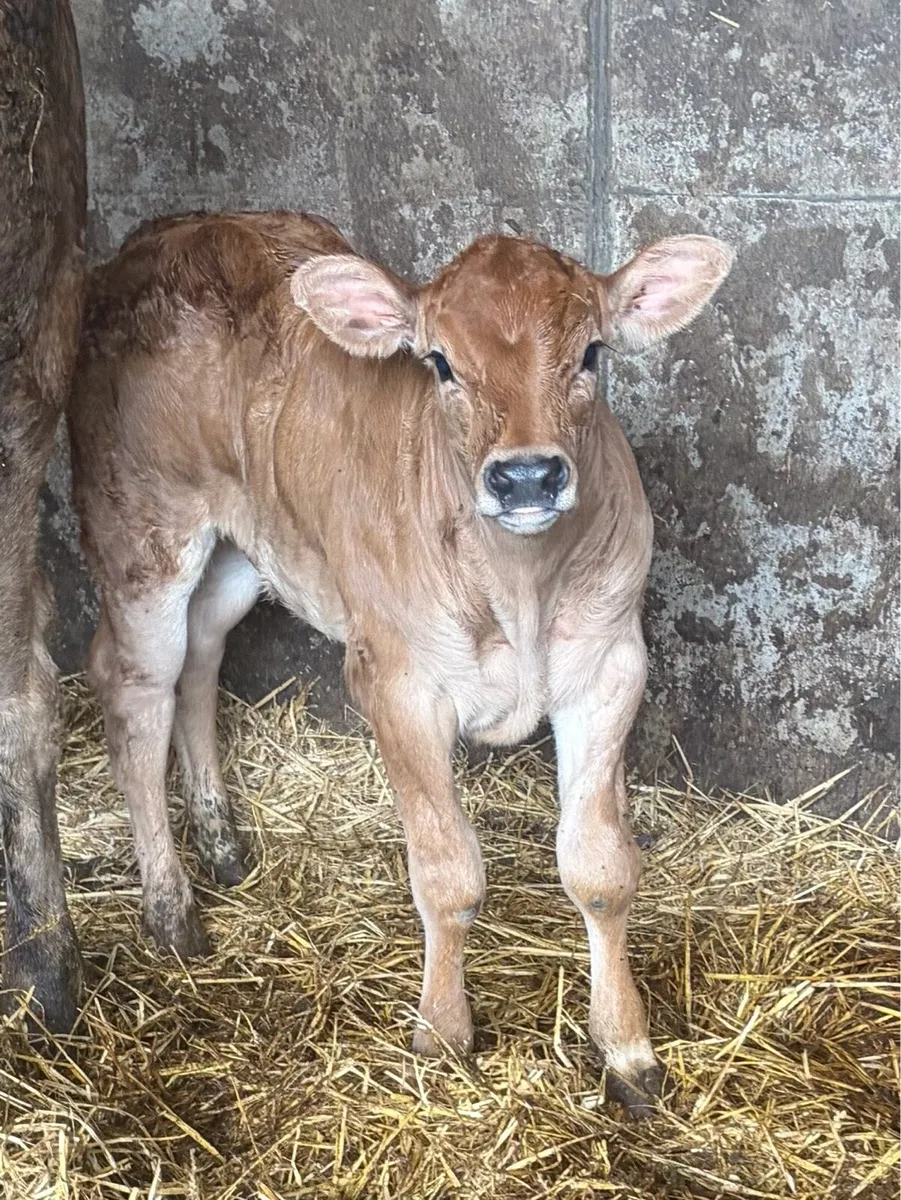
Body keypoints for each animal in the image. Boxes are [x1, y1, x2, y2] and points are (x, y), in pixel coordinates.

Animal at [68, 210, 731, 1112]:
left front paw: (626, 1050)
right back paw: (170, 910)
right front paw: (442, 1037)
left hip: (243, 550)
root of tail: (162, 233)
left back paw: (224, 843)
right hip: (141, 533)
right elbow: (449, 875)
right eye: (440, 361)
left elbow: (600, 867)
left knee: (201, 660)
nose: (527, 476)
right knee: (134, 687)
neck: (519, 589)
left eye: (591, 352)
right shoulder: (396, 682)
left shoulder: (608, 668)